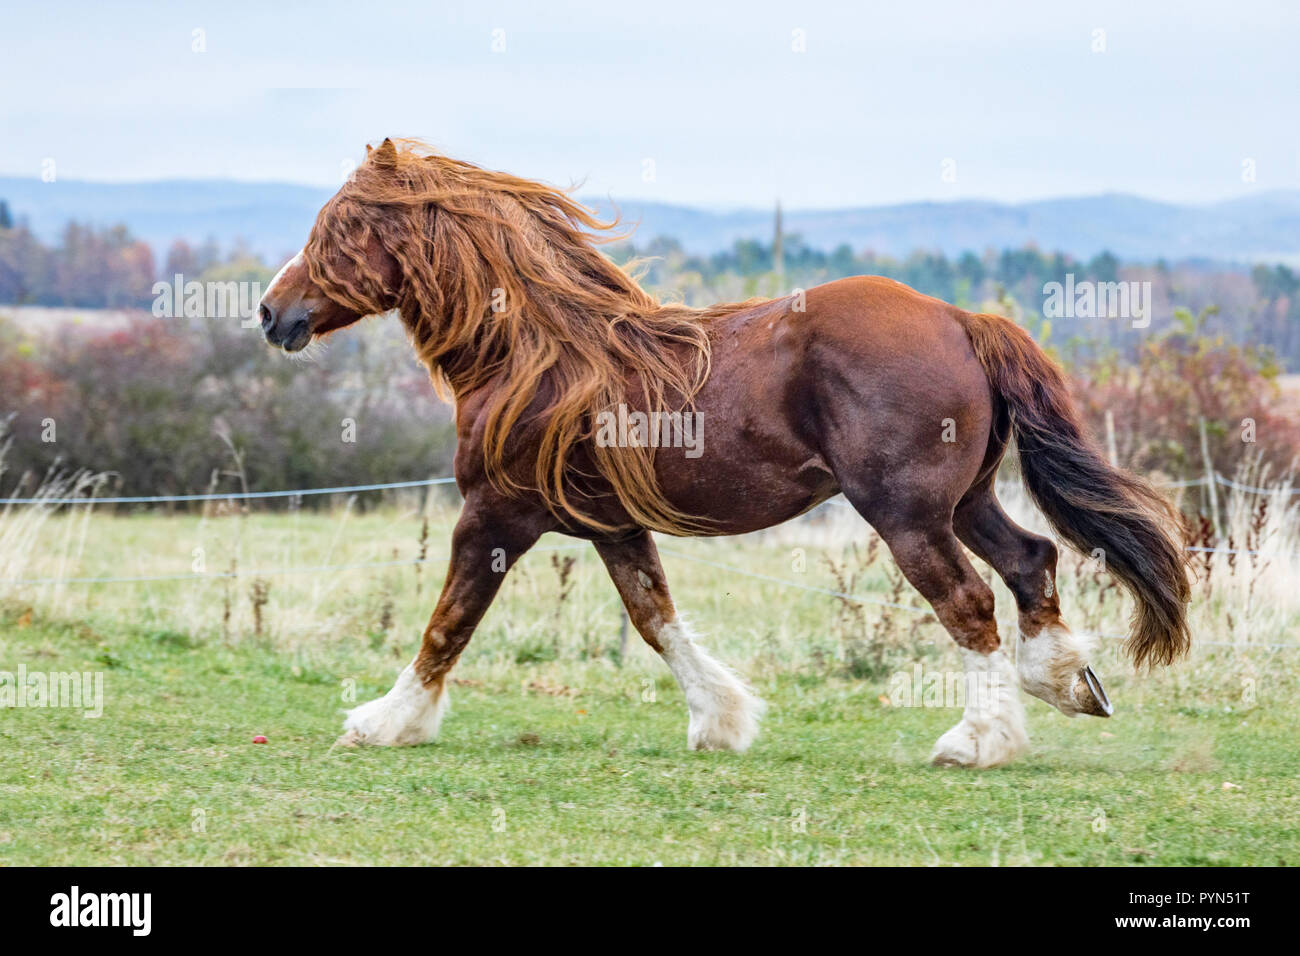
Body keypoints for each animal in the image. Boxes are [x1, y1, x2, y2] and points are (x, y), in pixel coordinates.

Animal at [256, 138, 1191, 768]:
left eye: (340, 225)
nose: (270, 313)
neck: (536, 357)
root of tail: (962, 319)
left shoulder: (494, 517)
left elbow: (448, 622)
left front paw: (385, 721)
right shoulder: (611, 527)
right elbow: (655, 618)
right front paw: (722, 719)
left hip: (906, 516)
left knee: (968, 602)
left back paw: (977, 739)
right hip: (963, 501)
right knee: (1030, 559)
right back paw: (1068, 682)